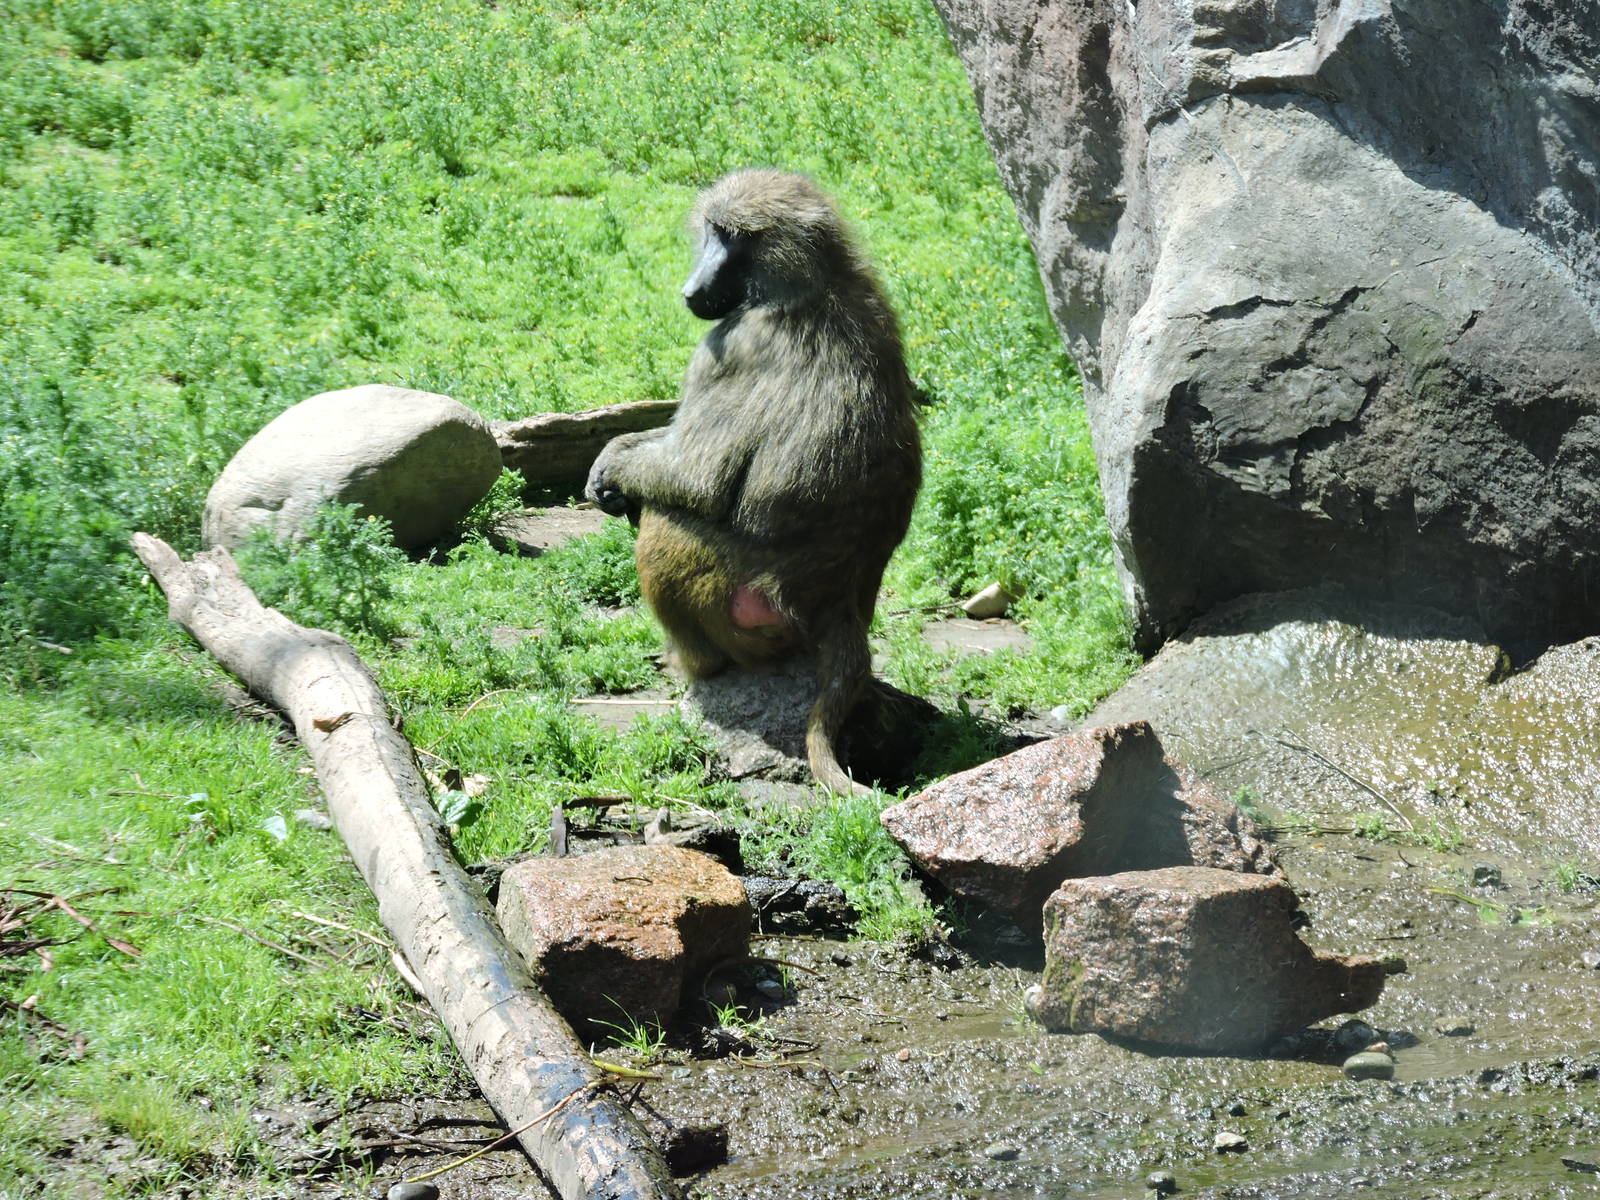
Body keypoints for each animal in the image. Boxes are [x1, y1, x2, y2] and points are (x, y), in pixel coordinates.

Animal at [585, 169, 922, 795]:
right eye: (713, 230)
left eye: (735, 238)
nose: (693, 289)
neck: (817, 283)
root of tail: (841, 602)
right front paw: (612, 453)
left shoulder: (729, 345)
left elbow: (697, 479)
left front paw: (613, 471)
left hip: (747, 609)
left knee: (665, 524)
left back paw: (692, 665)